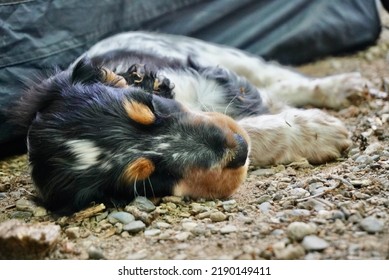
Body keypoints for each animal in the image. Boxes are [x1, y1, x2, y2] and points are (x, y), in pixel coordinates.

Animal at [13, 31, 364, 214]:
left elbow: (257, 104)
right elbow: (251, 124)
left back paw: (343, 87)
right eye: (146, 178)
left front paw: (315, 128)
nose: (238, 150)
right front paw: (316, 133)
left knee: (277, 76)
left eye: (150, 106)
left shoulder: (211, 79)